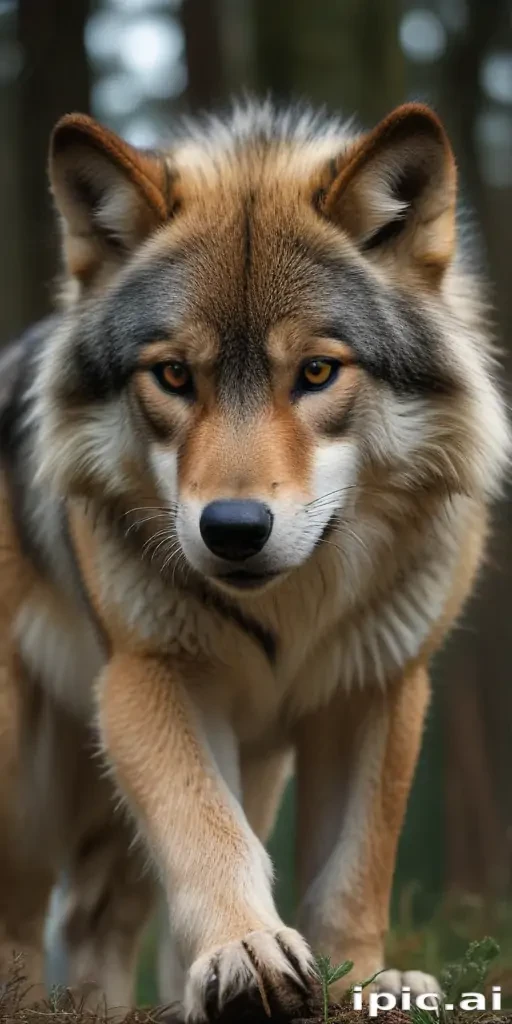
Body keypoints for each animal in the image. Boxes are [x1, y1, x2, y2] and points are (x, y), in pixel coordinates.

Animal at [0, 99, 508, 1020]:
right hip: (24, 780)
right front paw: (246, 952)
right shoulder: (149, 676)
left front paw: (365, 983)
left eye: (316, 371)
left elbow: (352, 871)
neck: (291, 609)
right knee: (23, 913)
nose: (233, 528)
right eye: (173, 375)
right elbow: (209, 830)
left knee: (96, 914)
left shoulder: (377, 687)